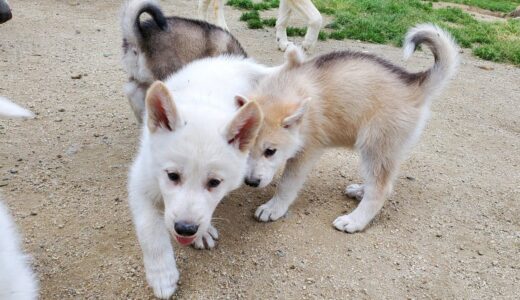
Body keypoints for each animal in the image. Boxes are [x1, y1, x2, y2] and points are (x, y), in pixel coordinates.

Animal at [128, 55, 272, 298]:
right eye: (172, 176)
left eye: (214, 182)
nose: (185, 229)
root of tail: (228, 62)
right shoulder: (141, 180)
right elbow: (150, 230)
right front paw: (162, 275)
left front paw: (202, 233)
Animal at [244, 24, 460, 233]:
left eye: (270, 151)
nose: (250, 183)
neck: (284, 89)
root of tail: (414, 85)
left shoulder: (307, 151)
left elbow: (286, 184)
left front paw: (273, 208)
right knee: (382, 181)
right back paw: (360, 191)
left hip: (374, 145)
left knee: (381, 188)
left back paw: (355, 220)